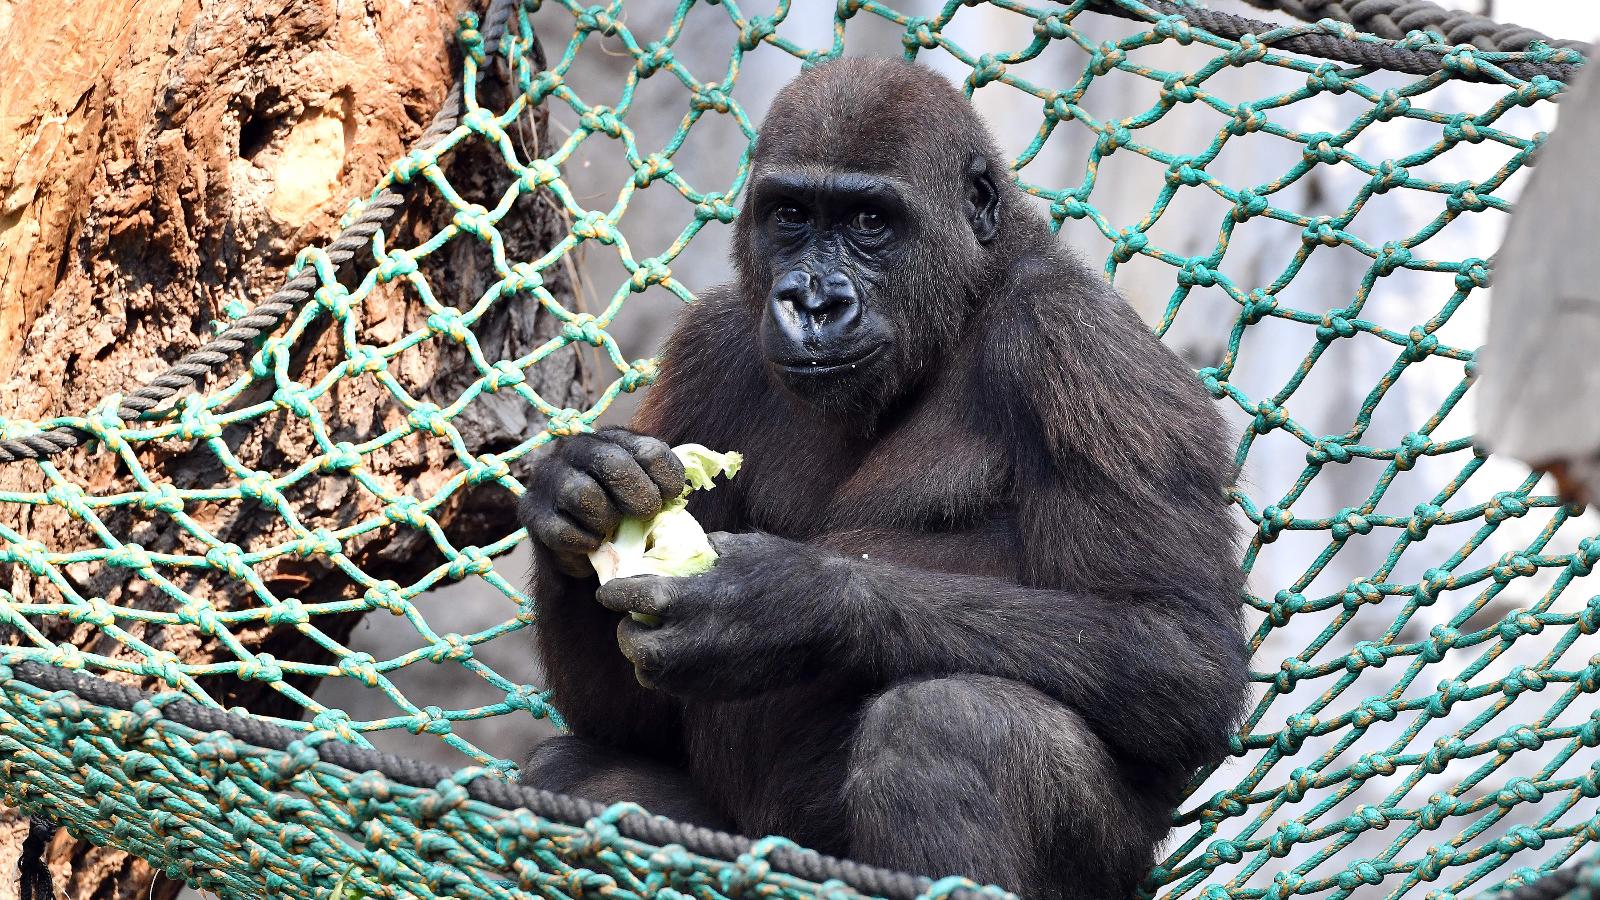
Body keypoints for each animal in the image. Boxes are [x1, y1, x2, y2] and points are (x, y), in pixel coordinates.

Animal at [512, 57, 1248, 896]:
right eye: (790, 214)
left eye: (870, 222)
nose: (812, 302)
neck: (966, 300)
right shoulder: (710, 346)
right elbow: (631, 718)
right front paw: (577, 495)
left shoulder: (1080, 345)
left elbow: (1180, 648)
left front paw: (781, 605)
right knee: (572, 775)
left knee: (950, 728)